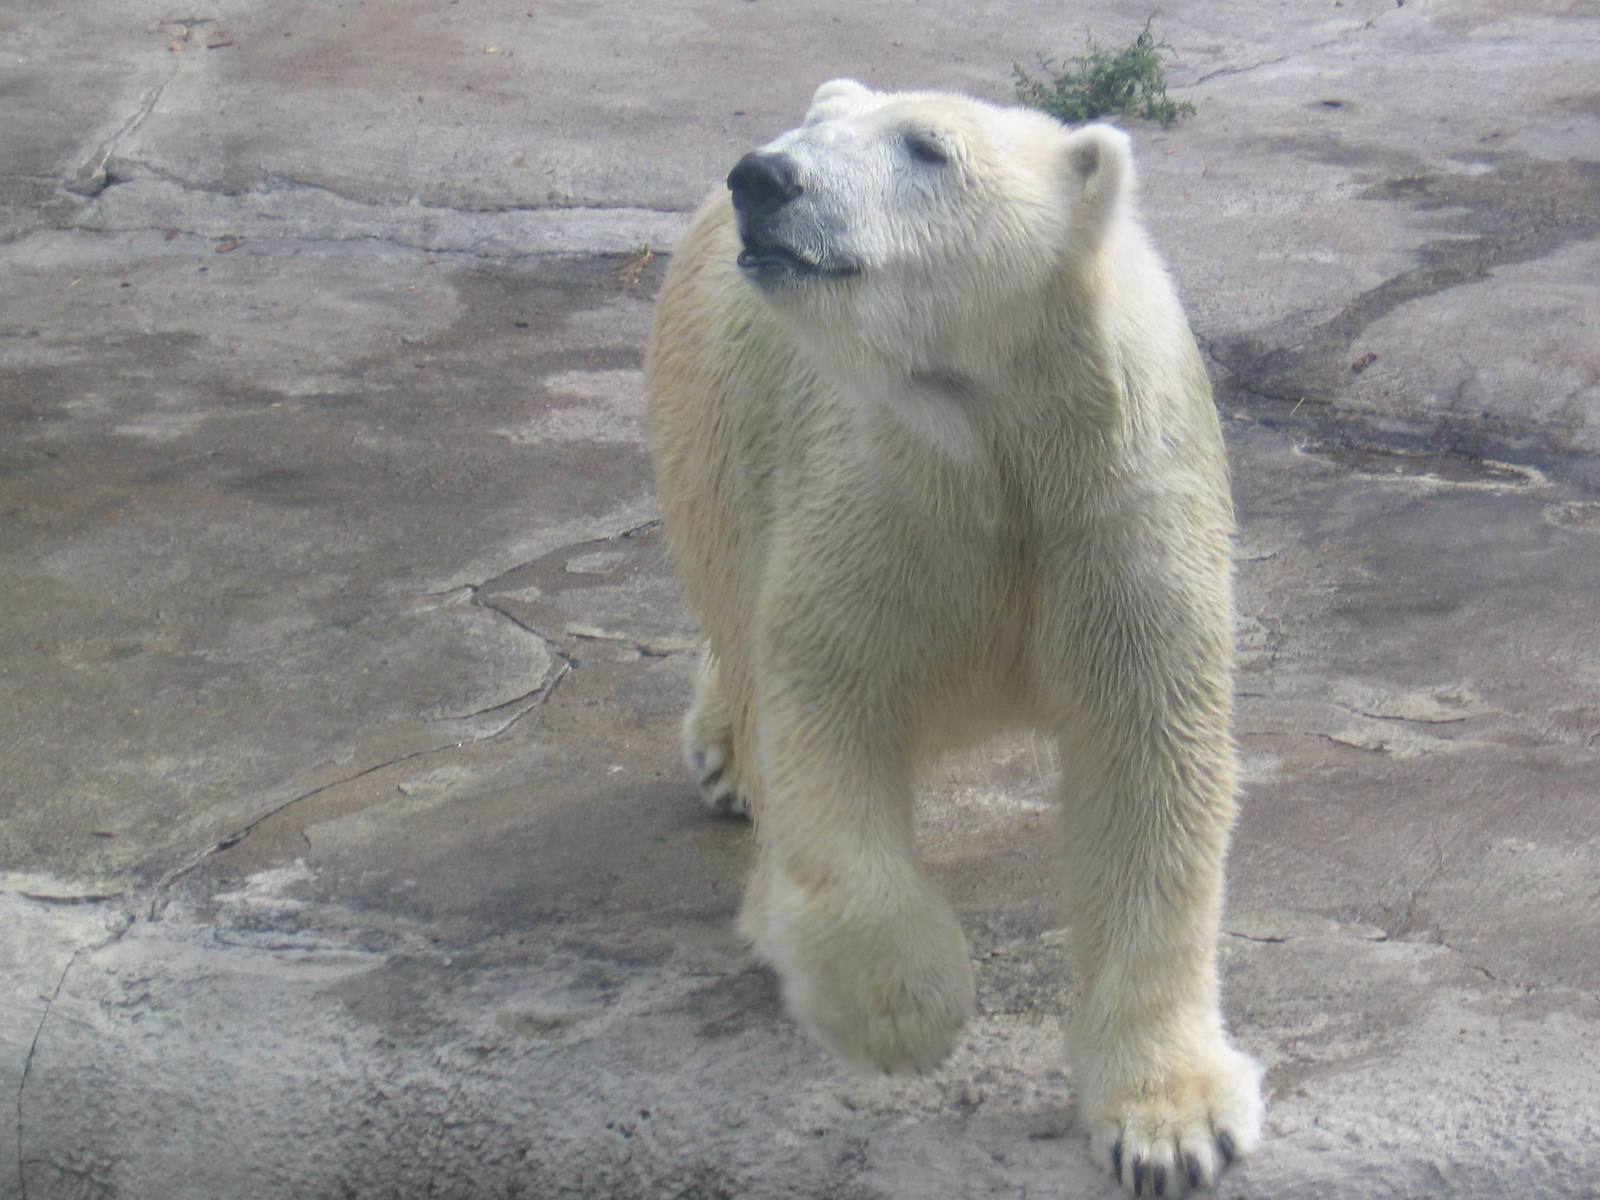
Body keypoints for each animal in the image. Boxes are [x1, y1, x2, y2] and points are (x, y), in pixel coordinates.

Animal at [645, 79, 1264, 1194]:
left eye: (927, 149)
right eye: (822, 130)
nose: (766, 175)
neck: (1003, 426)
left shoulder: (1120, 505)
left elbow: (1150, 767)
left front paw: (1175, 1127)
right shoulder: (878, 495)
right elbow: (827, 709)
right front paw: (908, 1015)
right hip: (709, 435)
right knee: (740, 625)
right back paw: (727, 766)